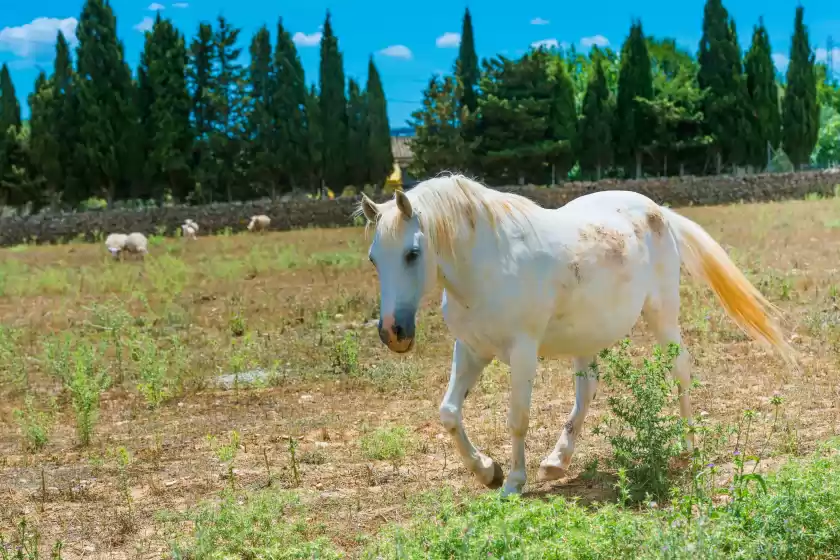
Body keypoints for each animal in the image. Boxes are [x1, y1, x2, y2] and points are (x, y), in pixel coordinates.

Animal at [358, 174, 796, 494]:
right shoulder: (470, 349)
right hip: (588, 335)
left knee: (680, 372)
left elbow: (517, 417)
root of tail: (660, 212)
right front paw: (487, 471)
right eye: (374, 258)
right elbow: (449, 412)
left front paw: (512, 482)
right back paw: (557, 461)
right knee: (587, 390)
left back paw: (689, 448)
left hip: (663, 316)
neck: (488, 264)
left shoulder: (522, 350)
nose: (393, 332)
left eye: (413, 253)